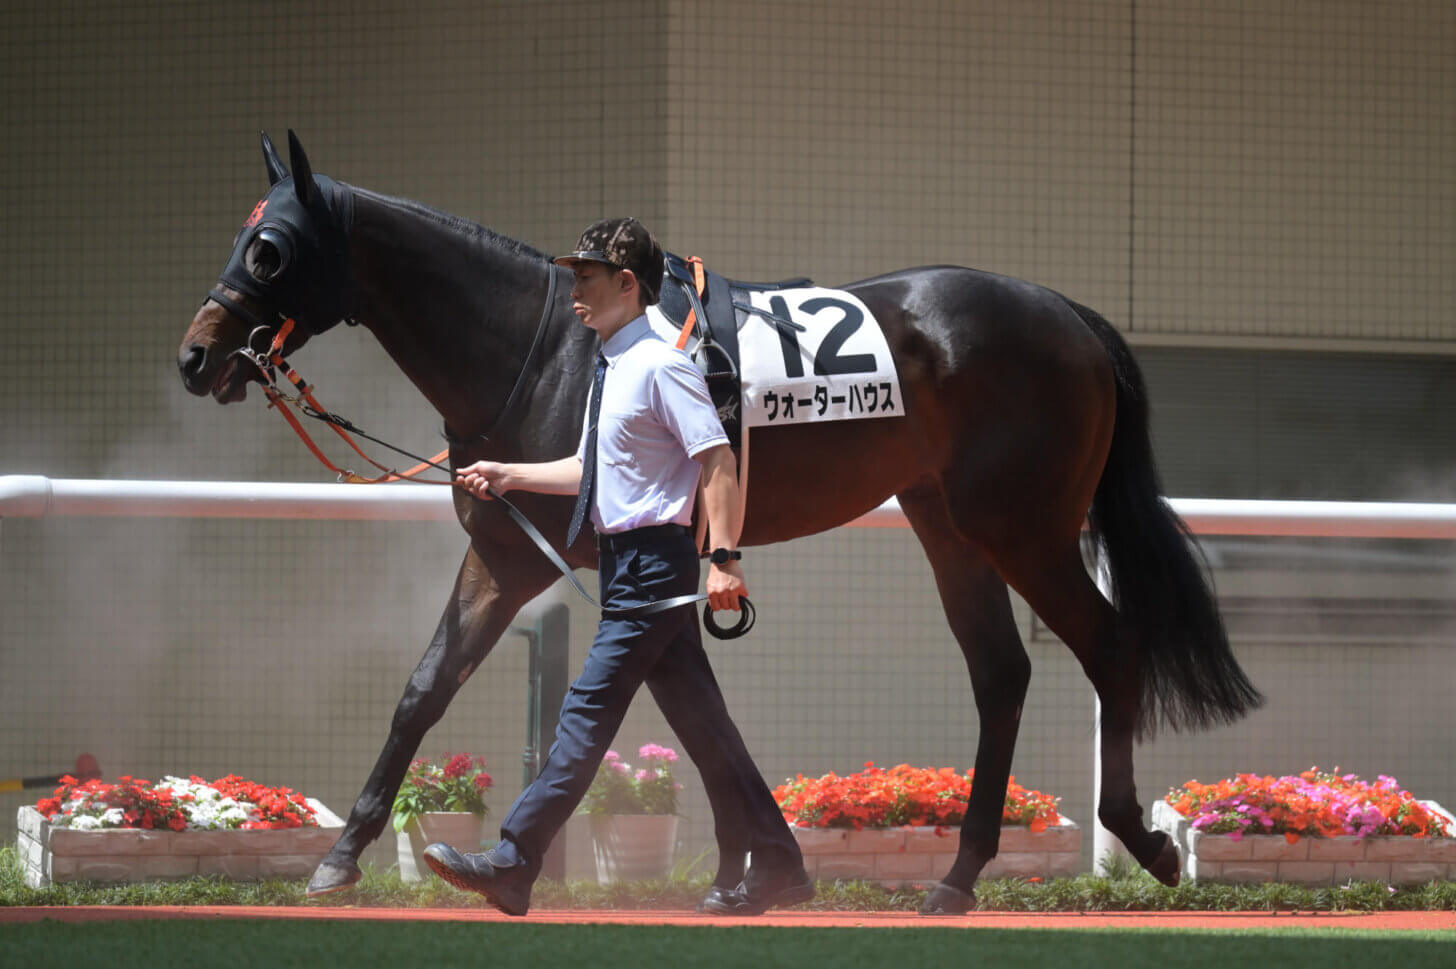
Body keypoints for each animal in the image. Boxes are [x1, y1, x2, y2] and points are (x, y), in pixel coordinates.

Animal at [173, 132, 1263, 907]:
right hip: (947, 524)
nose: (195, 356)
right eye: (238, 235)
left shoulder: (604, 560)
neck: (548, 349)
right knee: (1002, 672)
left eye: (267, 247)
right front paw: (342, 855)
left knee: (1107, 643)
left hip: (1022, 525)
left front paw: (759, 866)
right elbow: (432, 687)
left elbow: (683, 708)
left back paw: (1141, 839)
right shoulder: (513, 553)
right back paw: (955, 879)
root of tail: (1069, 314)